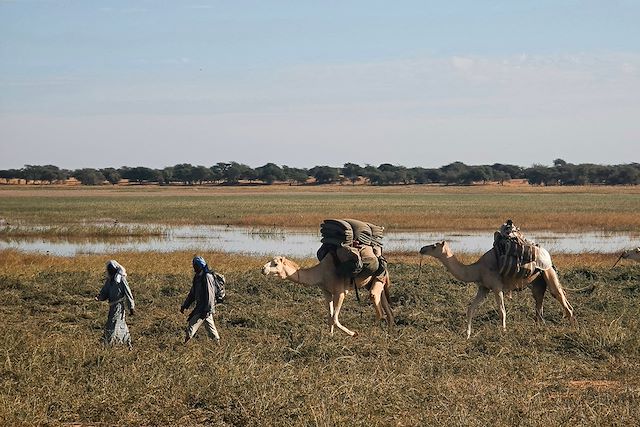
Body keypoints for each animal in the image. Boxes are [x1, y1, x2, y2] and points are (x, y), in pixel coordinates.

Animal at [261, 254, 394, 337]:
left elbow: (335, 318)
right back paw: (389, 332)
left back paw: (372, 332)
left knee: (377, 304)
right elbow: (330, 317)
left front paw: (354, 334)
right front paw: (330, 336)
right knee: (387, 308)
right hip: (374, 282)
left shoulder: (340, 293)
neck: (321, 273)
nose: (263, 269)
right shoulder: (327, 292)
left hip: (378, 277)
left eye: (275, 264)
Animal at [419, 241, 575, 338]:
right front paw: (467, 334)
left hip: (548, 271)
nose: (421, 249)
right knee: (539, 303)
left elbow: (502, 311)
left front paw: (503, 332)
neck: (477, 269)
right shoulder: (484, 288)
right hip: (538, 281)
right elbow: (471, 309)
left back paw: (572, 328)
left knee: (560, 298)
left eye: (434, 246)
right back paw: (539, 329)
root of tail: (548, 255)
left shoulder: (496, 287)